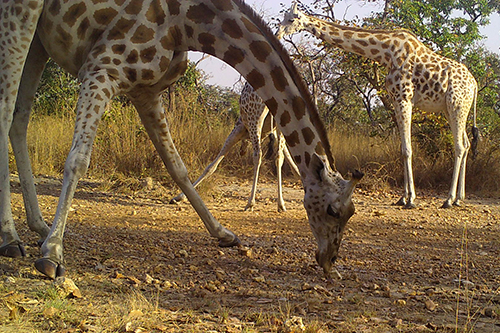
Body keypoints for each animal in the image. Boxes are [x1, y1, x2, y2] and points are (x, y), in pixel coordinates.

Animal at [170, 83, 298, 213]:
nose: (241, 152)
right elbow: (288, 158)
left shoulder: (239, 128)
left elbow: (211, 166)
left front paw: (178, 197)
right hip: (279, 120)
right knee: (278, 156)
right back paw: (281, 204)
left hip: (255, 118)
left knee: (258, 155)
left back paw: (250, 203)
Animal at [280, 3, 478, 208]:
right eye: (283, 17)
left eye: (291, 19)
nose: (278, 33)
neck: (386, 52)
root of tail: (474, 85)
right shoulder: (396, 99)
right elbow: (402, 149)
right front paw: (403, 197)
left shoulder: (404, 98)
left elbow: (407, 149)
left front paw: (411, 199)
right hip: (452, 109)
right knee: (466, 143)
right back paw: (459, 198)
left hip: (456, 105)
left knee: (459, 146)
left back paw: (449, 199)